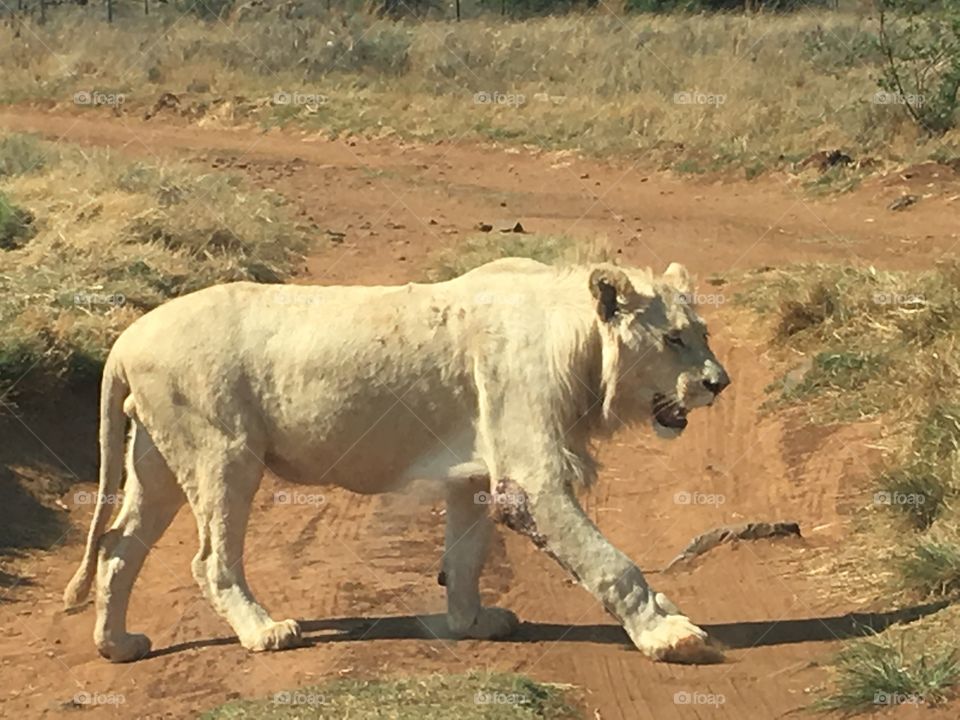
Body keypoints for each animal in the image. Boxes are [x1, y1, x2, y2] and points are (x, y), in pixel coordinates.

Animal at [64, 257, 730, 664]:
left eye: (703, 333)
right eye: (673, 339)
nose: (719, 383)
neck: (580, 344)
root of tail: (124, 340)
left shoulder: (476, 474)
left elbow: (464, 557)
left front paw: (471, 623)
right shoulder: (530, 476)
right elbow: (611, 563)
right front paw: (670, 635)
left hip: (156, 460)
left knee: (118, 546)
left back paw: (116, 643)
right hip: (223, 453)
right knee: (210, 560)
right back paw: (265, 631)